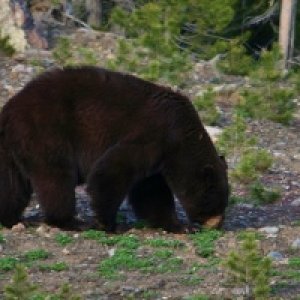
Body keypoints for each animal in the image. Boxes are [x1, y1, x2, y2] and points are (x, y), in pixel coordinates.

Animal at [0, 66, 229, 232]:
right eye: (216, 202)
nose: (218, 224)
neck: (182, 136)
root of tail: (10, 109)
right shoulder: (152, 136)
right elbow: (112, 169)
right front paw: (107, 223)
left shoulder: (159, 159)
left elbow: (151, 192)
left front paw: (178, 225)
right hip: (46, 132)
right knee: (55, 179)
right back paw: (70, 221)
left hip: (13, 148)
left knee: (12, 183)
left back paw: (11, 219)